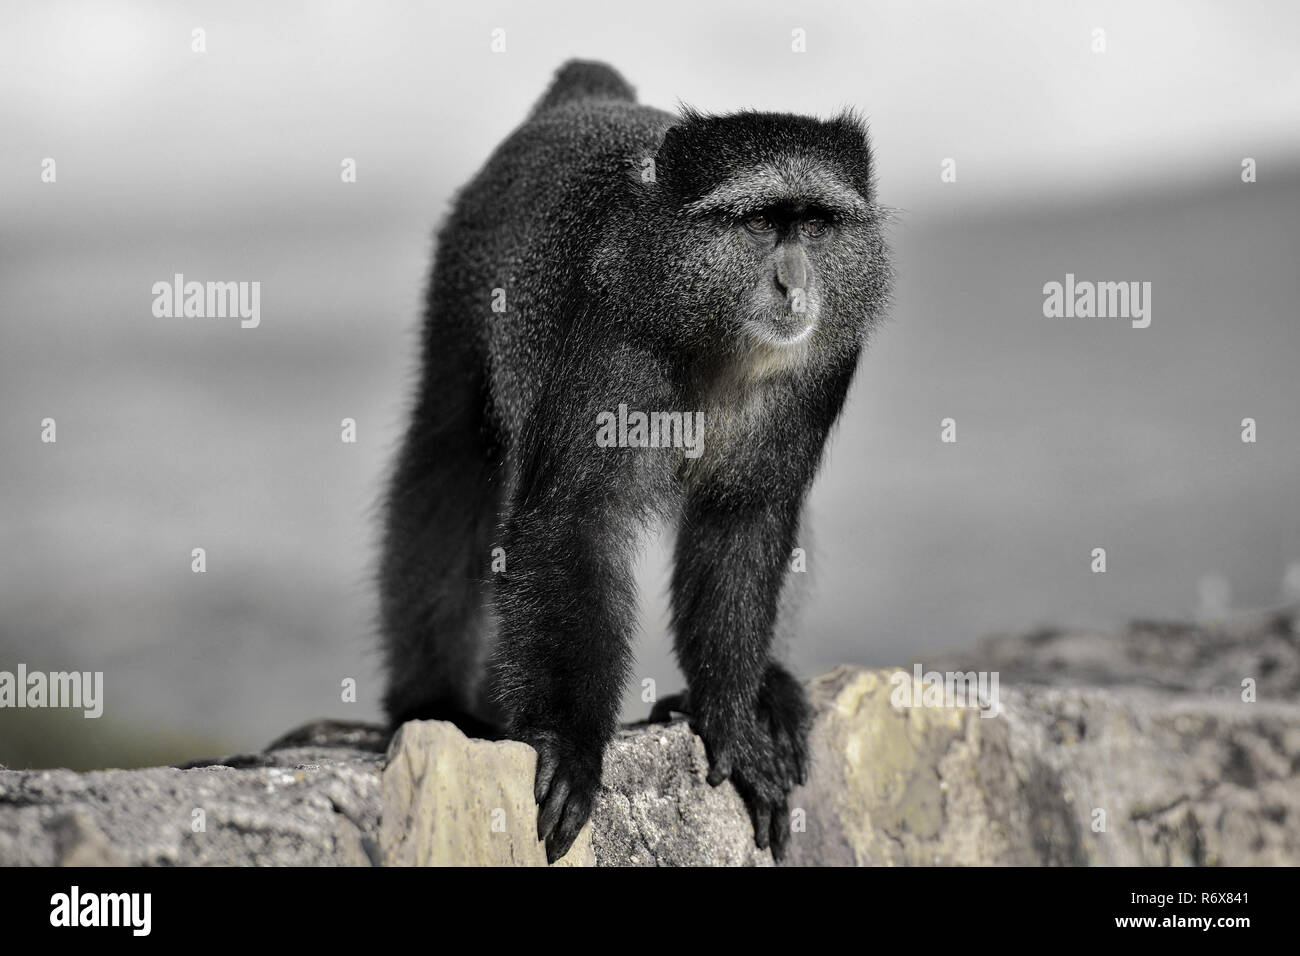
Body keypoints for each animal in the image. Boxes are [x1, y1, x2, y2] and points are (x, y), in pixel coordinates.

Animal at [379, 61, 894, 868]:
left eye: (813, 223)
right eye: (759, 223)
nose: (794, 283)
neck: (718, 337)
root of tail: (585, 96)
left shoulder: (827, 364)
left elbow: (747, 518)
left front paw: (731, 715)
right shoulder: (614, 334)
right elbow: (575, 520)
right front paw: (568, 742)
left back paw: (768, 689)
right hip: (462, 294)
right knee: (445, 467)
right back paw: (432, 701)